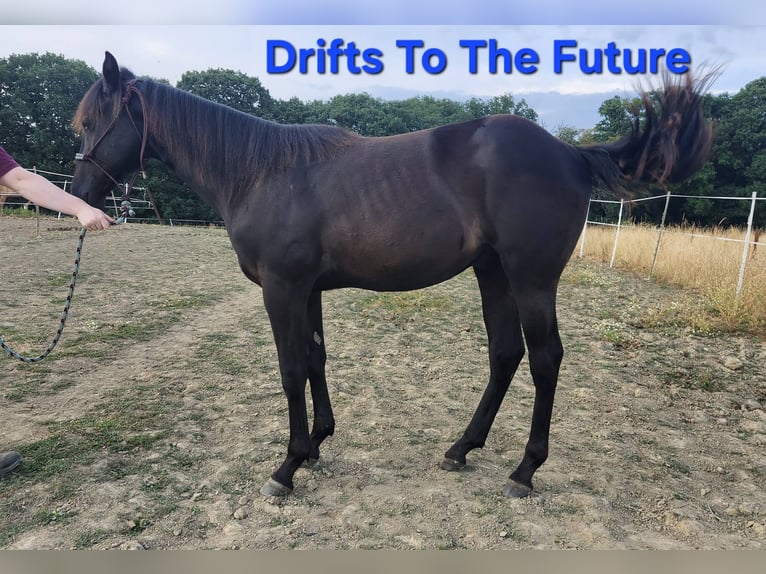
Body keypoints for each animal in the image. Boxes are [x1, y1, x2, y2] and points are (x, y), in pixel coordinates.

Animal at [71, 51, 714, 498]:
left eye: (90, 122)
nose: (78, 194)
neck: (262, 173)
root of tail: (570, 150)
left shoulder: (283, 289)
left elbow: (290, 369)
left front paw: (287, 466)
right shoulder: (307, 291)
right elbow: (315, 359)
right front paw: (317, 445)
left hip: (532, 279)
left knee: (544, 358)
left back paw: (524, 471)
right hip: (494, 274)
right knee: (505, 354)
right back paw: (462, 448)